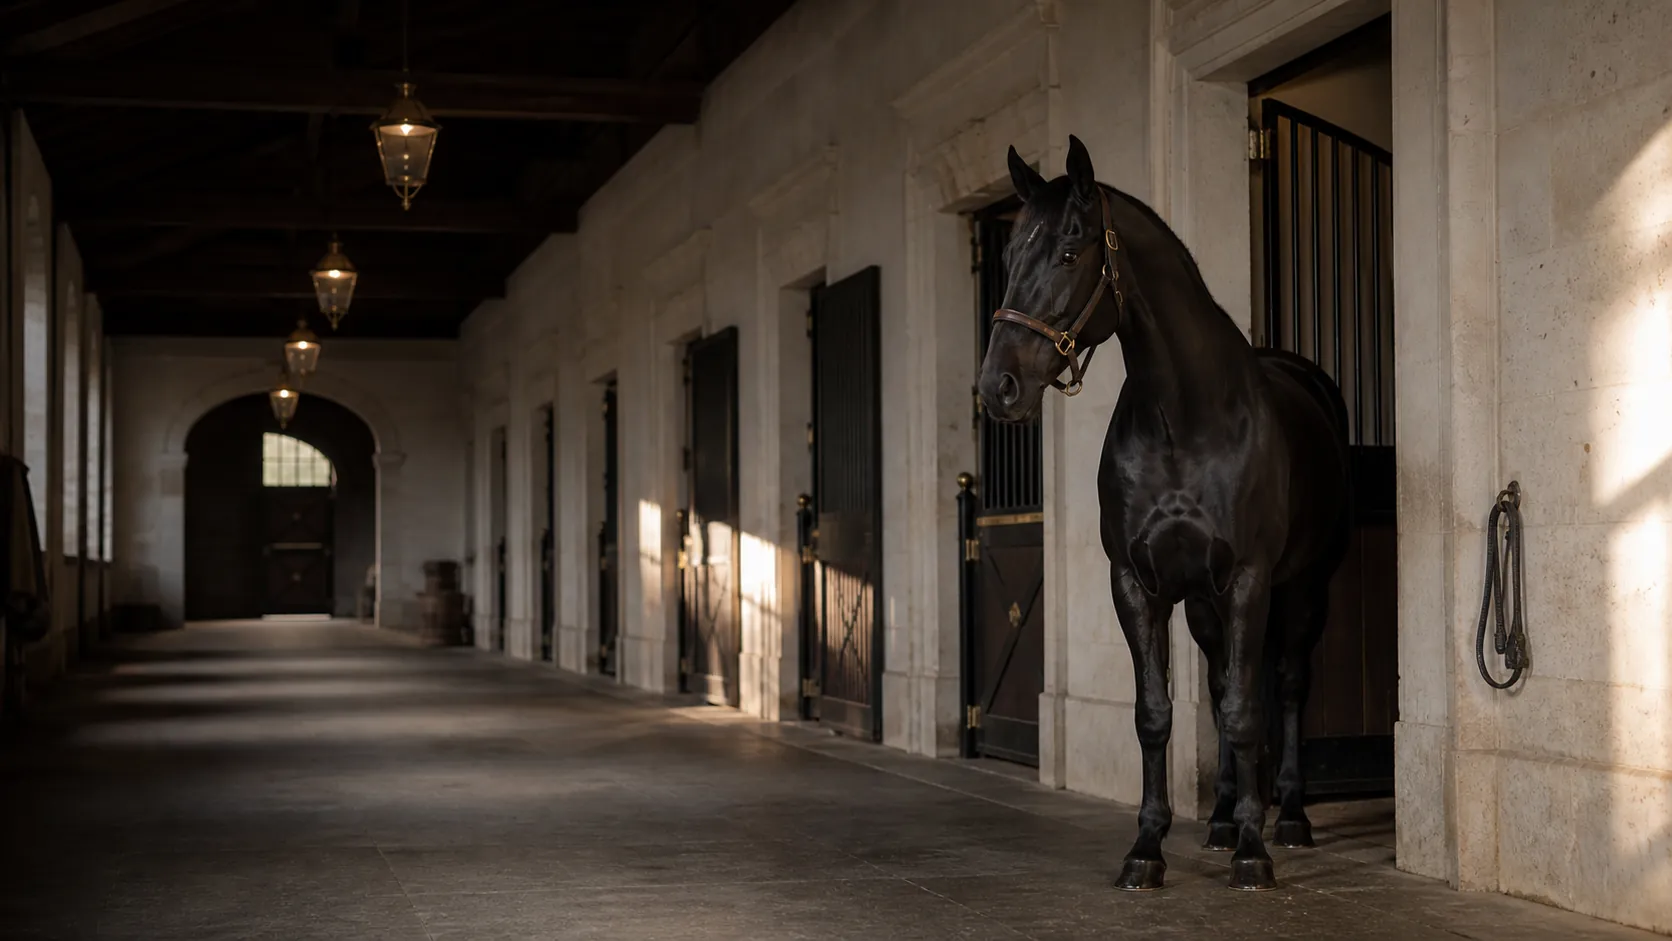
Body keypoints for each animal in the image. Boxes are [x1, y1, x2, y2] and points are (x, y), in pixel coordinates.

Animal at [977, 136, 1351, 892]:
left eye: (1070, 250)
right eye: (1007, 259)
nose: (997, 387)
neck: (1185, 419)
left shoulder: (1249, 581)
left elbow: (1246, 711)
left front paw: (1253, 853)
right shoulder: (1137, 583)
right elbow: (1159, 713)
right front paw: (1147, 847)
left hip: (1302, 588)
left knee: (1287, 685)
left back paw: (1289, 816)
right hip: (1204, 605)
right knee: (1220, 681)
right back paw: (1221, 819)